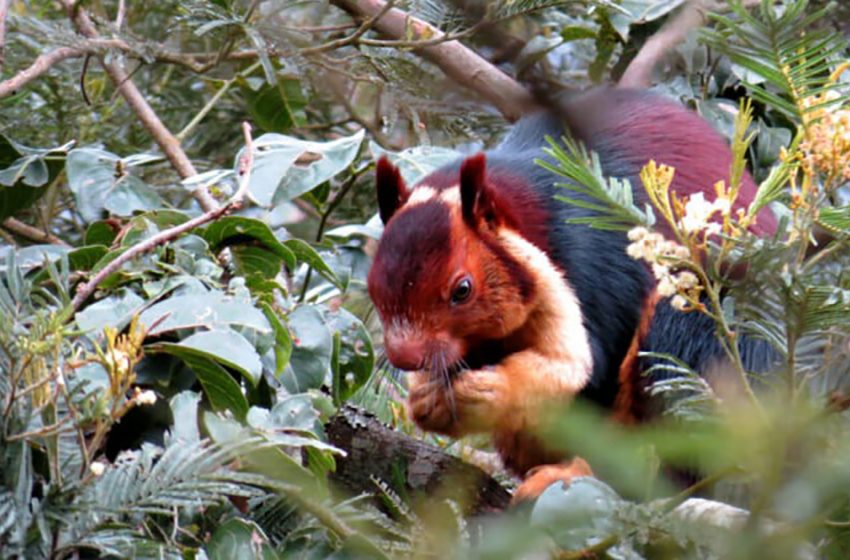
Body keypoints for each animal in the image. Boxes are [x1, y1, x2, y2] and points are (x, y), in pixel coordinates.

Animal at [364, 88, 776, 504]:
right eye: (373, 283)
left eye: (462, 290)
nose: (404, 356)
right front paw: (427, 398)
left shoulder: (596, 266)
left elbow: (585, 367)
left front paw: (490, 392)